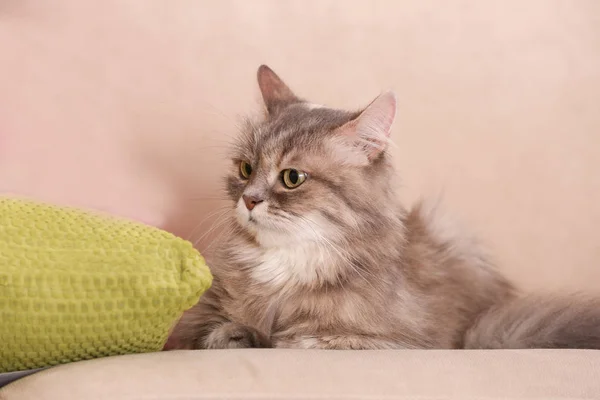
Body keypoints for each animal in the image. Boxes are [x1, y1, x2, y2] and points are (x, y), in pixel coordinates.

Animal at [166, 65, 600, 350]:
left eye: (292, 178)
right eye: (246, 169)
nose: (250, 198)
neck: (287, 264)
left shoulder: (395, 341)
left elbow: (302, 340)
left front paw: (265, 338)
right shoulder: (194, 322)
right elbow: (211, 332)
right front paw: (237, 335)